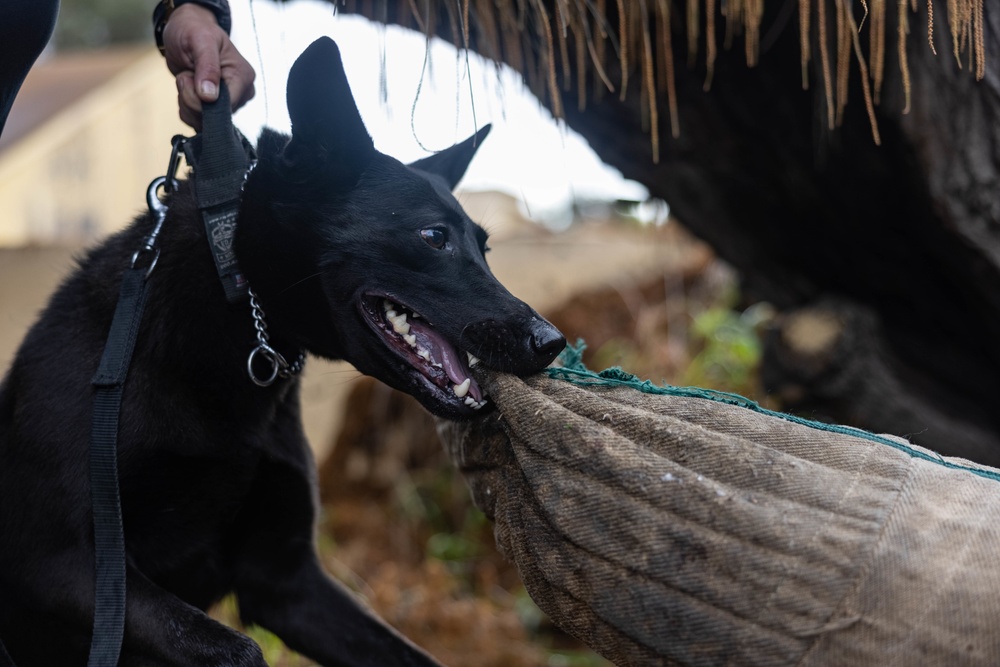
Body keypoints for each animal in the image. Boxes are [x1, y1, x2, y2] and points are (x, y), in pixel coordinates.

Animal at [0, 37, 564, 667]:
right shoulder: (63, 565)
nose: (550, 341)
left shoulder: (286, 583)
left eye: (485, 249)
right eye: (433, 237)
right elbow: (236, 650)